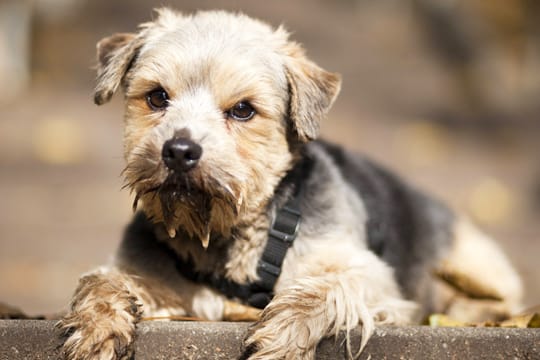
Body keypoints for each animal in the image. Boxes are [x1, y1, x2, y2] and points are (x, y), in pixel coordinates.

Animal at [59, 8, 524, 360]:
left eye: (243, 110)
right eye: (157, 97)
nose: (179, 150)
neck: (223, 237)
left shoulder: (376, 280)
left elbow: (325, 287)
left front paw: (285, 332)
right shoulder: (153, 278)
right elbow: (100, 281)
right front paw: (96, 326)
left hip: (473, 262)